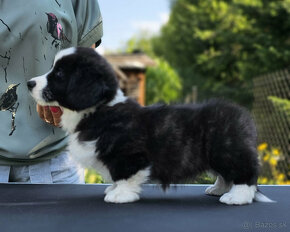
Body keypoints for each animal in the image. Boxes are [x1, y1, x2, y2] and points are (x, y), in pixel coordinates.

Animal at [26, 47, 272, 205]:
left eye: (58, 74)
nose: (29, 83)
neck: (98, 110)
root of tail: (243, 115)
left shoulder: (129, 156)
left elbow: (124, 176)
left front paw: (119, 195)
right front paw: (112, 188)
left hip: (228, 151)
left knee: (245, 174)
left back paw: (236, 197)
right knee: (225, 174)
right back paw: (218, 189)